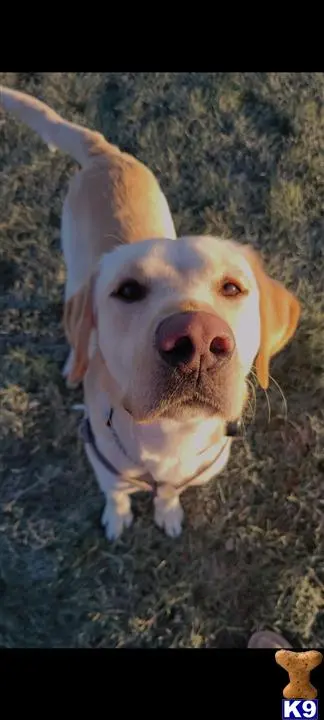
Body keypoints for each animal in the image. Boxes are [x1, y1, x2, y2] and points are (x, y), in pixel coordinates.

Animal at [0, 86, 302, 540]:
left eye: (232, 288)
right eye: (127, 291)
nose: (197, 340)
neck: (170, 438)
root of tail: (104, 152)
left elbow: (168, 493)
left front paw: (168, 512)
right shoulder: (104, 466)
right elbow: (117, 495)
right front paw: (118, 518)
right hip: (73, 267)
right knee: (76, 324)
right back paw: (74, 362)